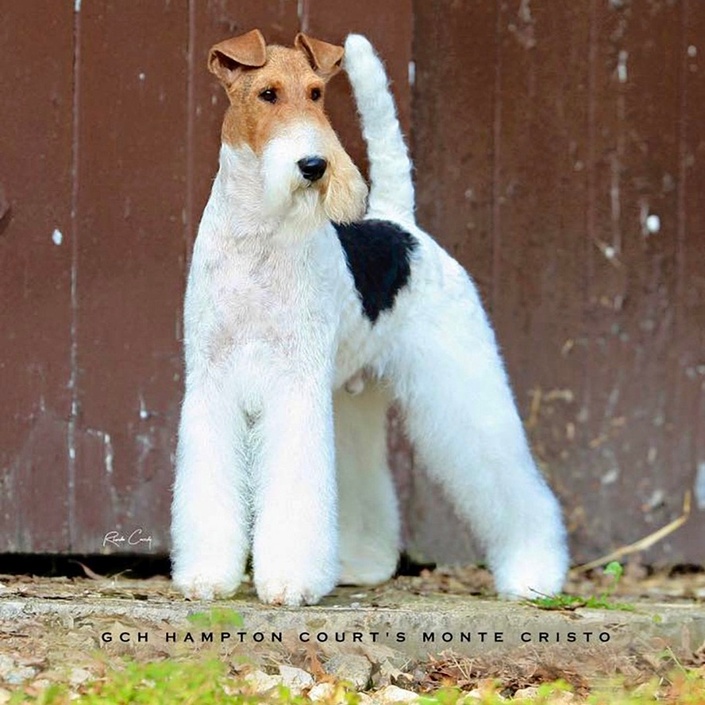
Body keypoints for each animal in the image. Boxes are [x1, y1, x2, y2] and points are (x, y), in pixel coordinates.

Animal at [169, 31, 568, 604]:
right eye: (268, 94)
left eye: (317, 93)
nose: (314, 165)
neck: (258, 235)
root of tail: (401, 223)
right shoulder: (211, 380)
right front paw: (206, 576)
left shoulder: (295, 385)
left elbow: (293, 489)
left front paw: (289, 581)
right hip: (350, 399)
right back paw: (363, 564)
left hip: (461, 383)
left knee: (514, 489)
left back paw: (534, 573)